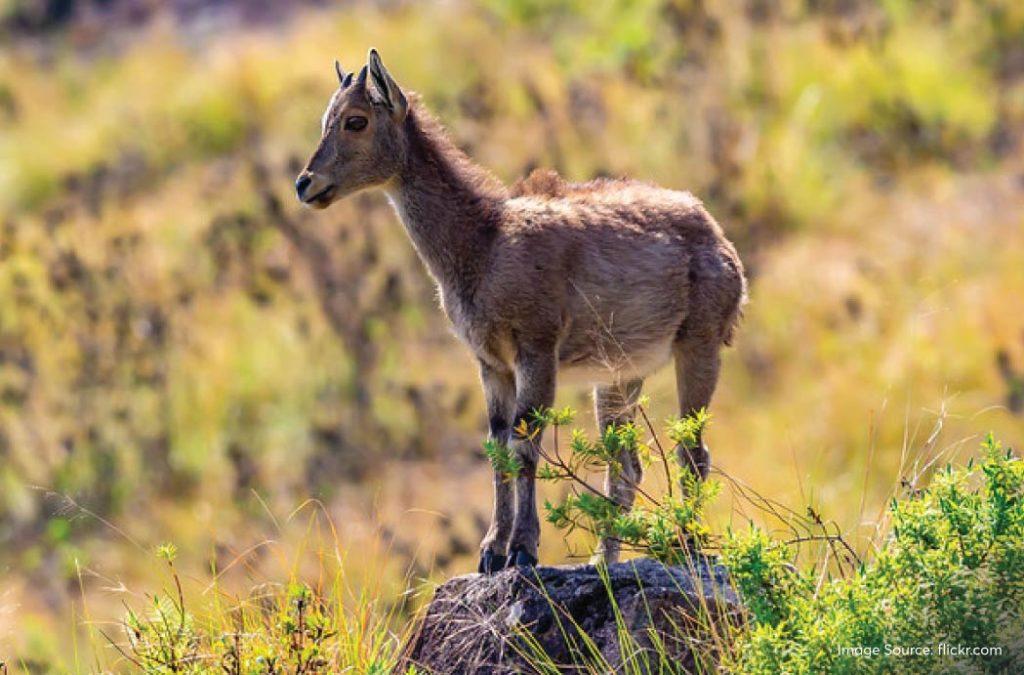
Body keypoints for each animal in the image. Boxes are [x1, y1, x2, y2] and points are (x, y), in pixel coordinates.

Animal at [296, 50, 745, 573]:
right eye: (325, 119)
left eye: (356, 120)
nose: (306, 184)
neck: (482, 244)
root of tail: (718, 238)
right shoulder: (491, 363)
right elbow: (496, 447)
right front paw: (491, 550)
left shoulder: (537, 346)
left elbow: (525, 443)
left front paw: (523, 549)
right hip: (618, 376)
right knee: (626, 466)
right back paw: (602, 561)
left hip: (700, 345)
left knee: (692, 451)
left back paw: (686, 544)